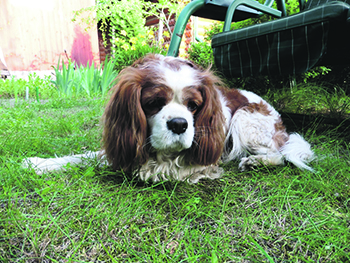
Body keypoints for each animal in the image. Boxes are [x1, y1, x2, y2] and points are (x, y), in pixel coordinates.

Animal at [24, 54, 314, 184]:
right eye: (154, 103)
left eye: (193, 106)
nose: (179, 124)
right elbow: (87, 156)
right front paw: (41, 163)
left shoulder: (193, 162)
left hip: (245, 118)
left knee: (280, 153)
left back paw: (256, 161)